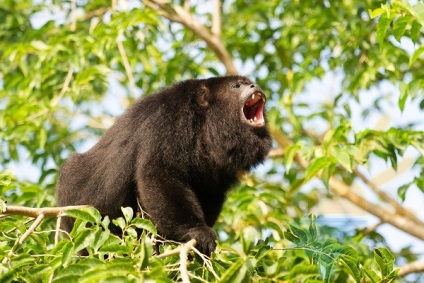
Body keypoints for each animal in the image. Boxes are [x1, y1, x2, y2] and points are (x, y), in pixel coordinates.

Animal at [57, 75, 272, 255]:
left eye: (249, 82)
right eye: (236, 86)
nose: (254, 86)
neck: (206, 121)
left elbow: (211, 192)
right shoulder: (169, 121)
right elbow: (159, 174)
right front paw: (197, 231)